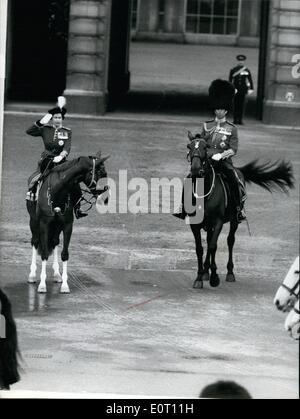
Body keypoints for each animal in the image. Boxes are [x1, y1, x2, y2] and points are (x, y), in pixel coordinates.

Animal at [26, 153, 109, 294]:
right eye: (99, 173)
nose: (106, 198)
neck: (57, 190)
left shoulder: (67, 226)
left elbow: (64, 254)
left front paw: (65, 285)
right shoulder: (44, 225)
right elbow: (44, 254)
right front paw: (42, 285)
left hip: (56, 227)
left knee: (54, 242)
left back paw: (57, 274)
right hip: (34, 222)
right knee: (35, 242)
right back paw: (32, 275)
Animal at [186, 136, 294, 290]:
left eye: (205, 147)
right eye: (189, 147)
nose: (195, 170)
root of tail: (237, 170)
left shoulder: (218, 222)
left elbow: (213, 246)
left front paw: (214, 278)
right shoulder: (195, 224)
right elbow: (200, 248)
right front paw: (200, 277)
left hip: (234, 220)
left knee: (230, 241)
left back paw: (229, 273)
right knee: (210, 240)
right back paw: (206, 272)